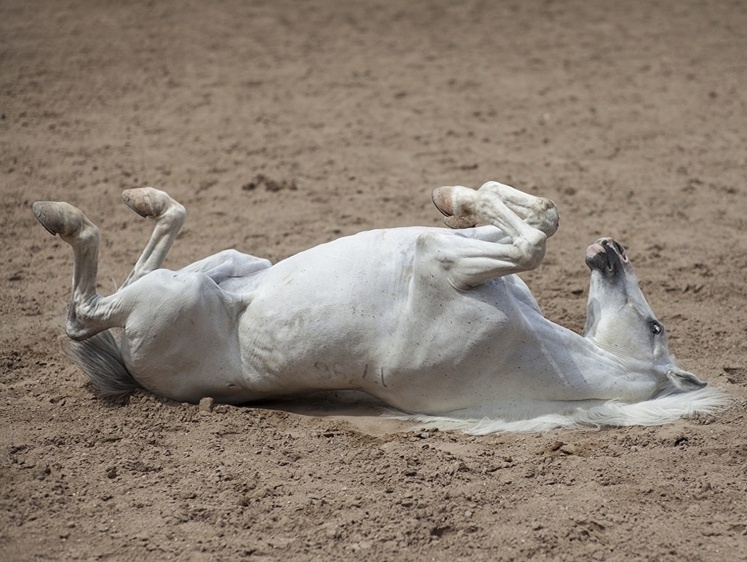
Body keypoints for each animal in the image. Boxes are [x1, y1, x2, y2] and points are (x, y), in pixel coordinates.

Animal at [32, 182, 728, 430]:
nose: (612, 251)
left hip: (171, 297)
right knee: (148, 252)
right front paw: (454, 195)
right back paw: (142, 198)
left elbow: (531, 240)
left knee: (84, 312)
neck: (541, 351)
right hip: (223, 266)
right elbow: (534, 220)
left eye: (655, 325)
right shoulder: (461, 253)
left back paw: (60, 214)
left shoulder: (445, 262)